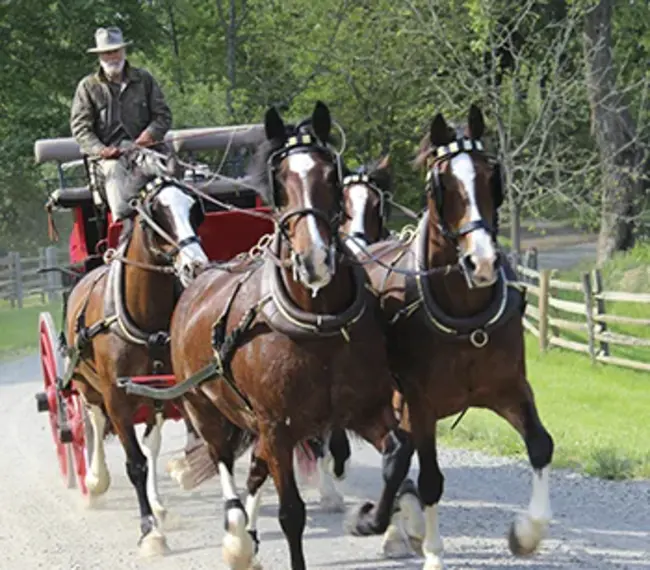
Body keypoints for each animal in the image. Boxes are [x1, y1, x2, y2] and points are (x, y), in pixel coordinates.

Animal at [63, 145, 208, 552]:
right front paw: (149, 530)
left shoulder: (162, 387)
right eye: (157, 212)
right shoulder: (116, 395)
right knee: (93, 421)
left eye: (195, 209)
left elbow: (150, 448)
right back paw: (95, 480)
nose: (196, 266)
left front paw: (156, 511)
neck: (144, 316)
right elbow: (134, 462)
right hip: (87, 383)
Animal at [167, 102, 410, 568]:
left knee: (256, 469)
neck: (317, 323)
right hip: (204, 407)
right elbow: (292, 514)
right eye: (279, 181)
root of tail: (198, 279)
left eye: (331, 175)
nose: (314, 259)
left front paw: (372, 521)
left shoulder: (366, 409)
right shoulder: (278, 426)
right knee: (222, 459)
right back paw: (237, 536)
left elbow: (398, 456)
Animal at [346, 104, 556, 564]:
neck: (465, 314)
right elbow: (429, 479)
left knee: (394, 452)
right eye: (440, 184)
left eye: (490, 176)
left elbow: (540, 445)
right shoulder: (420, 403)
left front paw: (526, 534)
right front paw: (434, 554)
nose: (483, 262)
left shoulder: (510, 387)